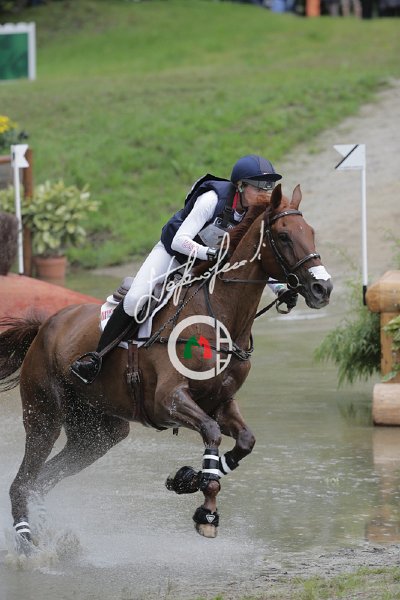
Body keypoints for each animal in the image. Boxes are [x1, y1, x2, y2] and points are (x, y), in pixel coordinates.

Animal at [0, 184, 332, 547]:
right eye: (284, 236)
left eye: (311, 232)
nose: (323, 288)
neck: (219, 320)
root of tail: (44, 326)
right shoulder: (169, 400)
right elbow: (212, 434)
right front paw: (207, 513)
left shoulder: (220, 402)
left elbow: (245, 441)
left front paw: (187, 479)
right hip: (44, 416)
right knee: (23, 481)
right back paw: (28, 545)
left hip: (97, 433)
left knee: (42, 480)